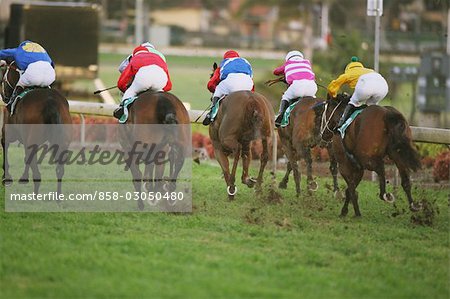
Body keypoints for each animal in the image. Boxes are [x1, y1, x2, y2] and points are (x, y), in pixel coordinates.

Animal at [0, 61, 72, 195]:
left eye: (3, 80)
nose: (4, 97)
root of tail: (51, 102)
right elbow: (26, 158)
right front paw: (23, 178)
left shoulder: (8, 131)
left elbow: (5, 146)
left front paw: (6, 178)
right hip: (63, 141)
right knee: (59, 169)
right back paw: (58, 196)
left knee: (37, 173)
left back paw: (35, 195)